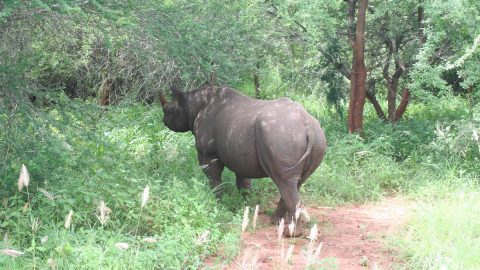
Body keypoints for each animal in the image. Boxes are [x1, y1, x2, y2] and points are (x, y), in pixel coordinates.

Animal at [161, 85, 326, 234]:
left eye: (170, 110)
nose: (164, 121)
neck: (191, 105)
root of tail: (306, 123)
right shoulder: (240, 155)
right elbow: (243, 183)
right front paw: (245, 206)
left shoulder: (207, 155)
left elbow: (214, 180)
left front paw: (216, 203)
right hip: (315, 138)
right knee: (296, 182)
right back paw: (275, 222)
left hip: (281, 135)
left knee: (285, 181)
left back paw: (290, 233)